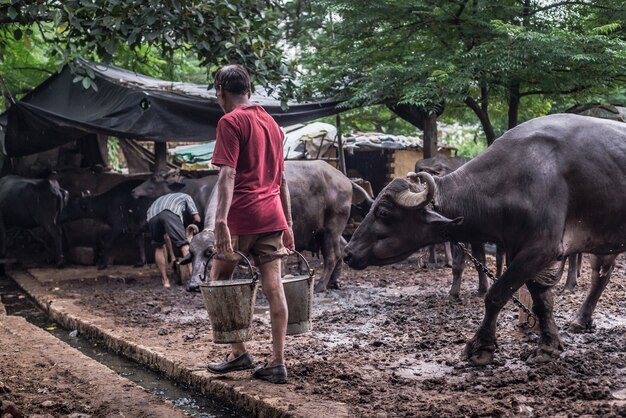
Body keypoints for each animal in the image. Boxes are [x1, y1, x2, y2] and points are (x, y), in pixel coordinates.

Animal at [344, 114, 620, 366]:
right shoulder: (523, 250)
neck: (516, 179)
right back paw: (581, 320)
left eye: (383, 212)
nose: (348, 253)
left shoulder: (540, 250)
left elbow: (496, 296)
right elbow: (543, 303)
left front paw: (481, 347)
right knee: (601, 278)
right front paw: (548, 346)